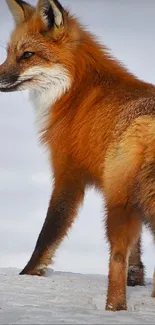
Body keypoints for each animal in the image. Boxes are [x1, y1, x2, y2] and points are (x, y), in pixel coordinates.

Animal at [0, 0, 154, 310]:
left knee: (115, 258)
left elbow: (48, 232)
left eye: (27, 55)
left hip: (117, 204)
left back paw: (114, 309)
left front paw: (27, 275)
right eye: (9, 53)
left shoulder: (67, 174)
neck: (76, 93)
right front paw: (138, 278)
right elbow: (137, 252)